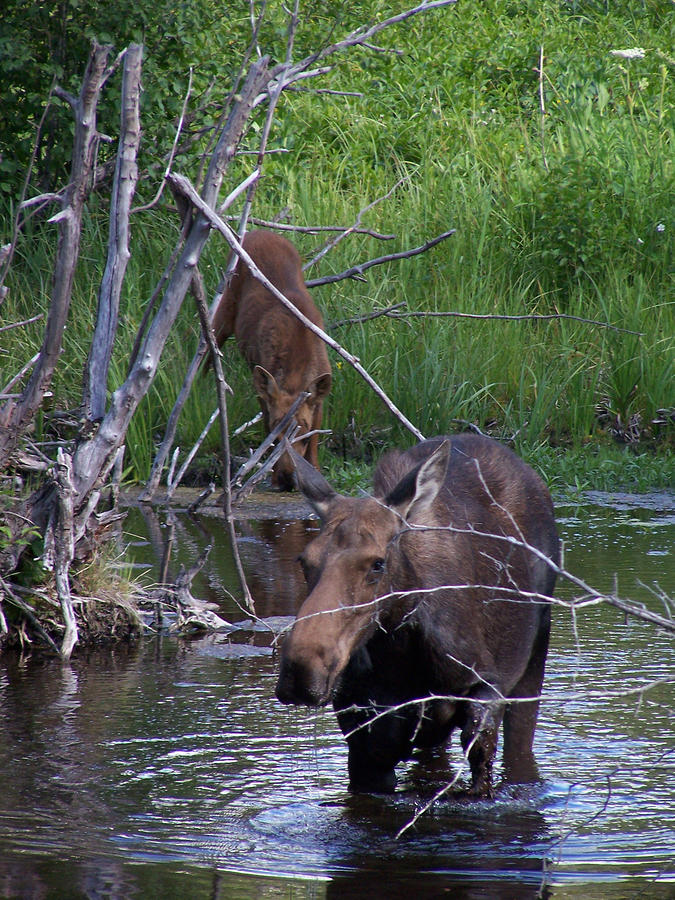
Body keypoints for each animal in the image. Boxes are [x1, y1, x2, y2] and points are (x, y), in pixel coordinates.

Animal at [213, 229, 332, 488]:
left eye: (303, 437)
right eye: (275, 438)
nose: (288, 478)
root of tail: (256, 231)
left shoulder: (317, 399)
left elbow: (317, 436)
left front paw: (315, 472)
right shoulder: (263, 391)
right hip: (225, 310)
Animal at [274, 436, 560, 796]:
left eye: (377, 563)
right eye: (303, 560)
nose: (301, 670)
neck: (404, 652)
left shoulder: (486, 689)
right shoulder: (365, 741)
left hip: (535, 651)